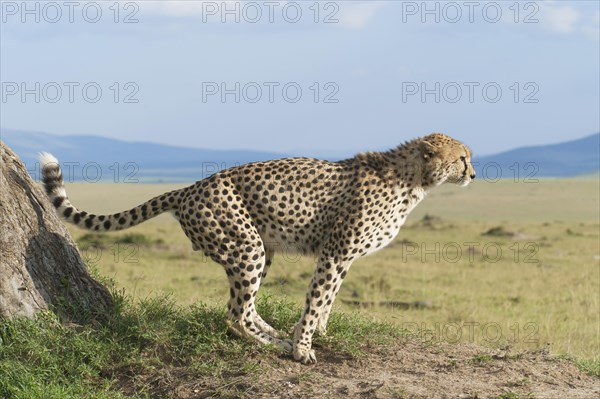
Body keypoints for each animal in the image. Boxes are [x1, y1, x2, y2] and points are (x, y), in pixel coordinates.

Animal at [39, 133, 476, 364]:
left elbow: (327, 301)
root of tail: (189, 187)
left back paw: (274, 333)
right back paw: (275, 344)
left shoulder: (343, 258)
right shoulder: (336, 253)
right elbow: (317, 299)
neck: (413, 180)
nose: (473, 174)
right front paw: (303, 349)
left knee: (243, 307)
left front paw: (314, 333)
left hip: (259, 249)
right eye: (462, 158)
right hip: (246, 246)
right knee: (234, 314)